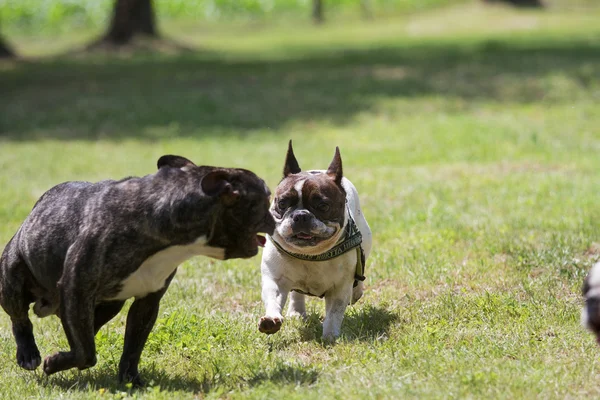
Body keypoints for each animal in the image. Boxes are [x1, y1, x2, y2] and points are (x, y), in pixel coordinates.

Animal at [258, 141, 370, 340]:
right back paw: (296, 312)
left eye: (323, 206)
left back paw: (356, 292)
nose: (301, 215)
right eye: (282, 203)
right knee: (296, 294)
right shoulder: (275, 279)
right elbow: (273, 298)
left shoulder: (339, 288)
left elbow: (334, 313)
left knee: (360, 273)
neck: (310, 254)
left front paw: (330, 335)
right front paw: (271, 319)